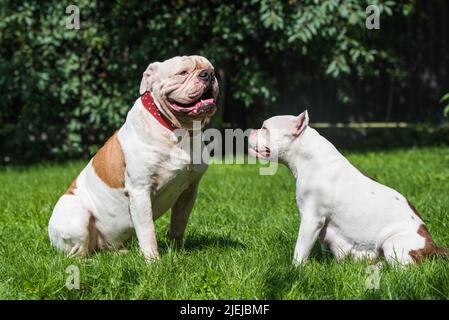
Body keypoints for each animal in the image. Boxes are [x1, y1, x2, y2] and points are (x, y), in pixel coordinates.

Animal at [47, 54, 219, 260]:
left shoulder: (189, 190)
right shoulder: (140, 192)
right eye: (182, 72)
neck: (177, 131)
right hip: (76, 213)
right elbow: (147, 231)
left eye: (212, 69)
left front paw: (176, 251)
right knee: (78, 252)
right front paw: (153, 261)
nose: (207, 74)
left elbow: (178, 224)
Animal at [250, 111, 446, 266]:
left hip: (393, 244)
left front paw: (295, 270)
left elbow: (300, 251)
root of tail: (432, 246)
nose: (250, 131)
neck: (307, 158)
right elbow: (323, 247)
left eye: (265, 128)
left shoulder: (312, 220)